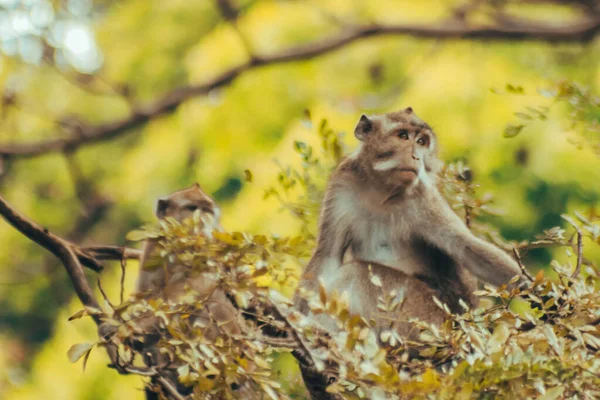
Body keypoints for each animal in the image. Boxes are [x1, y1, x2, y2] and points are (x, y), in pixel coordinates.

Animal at [296, 108, 524, 336]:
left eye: (422, 141)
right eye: (403, 136)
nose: (416, 157)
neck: (381, 193)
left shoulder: (422, 198)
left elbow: (467, 248)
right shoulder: (342, 183)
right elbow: (328, 254)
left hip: (420, 318)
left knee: (355, 272)